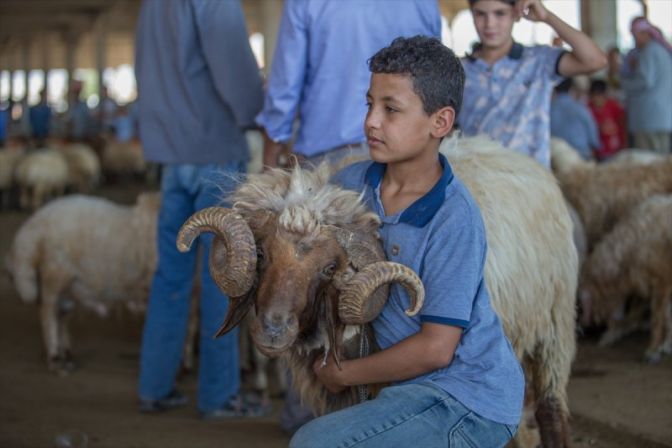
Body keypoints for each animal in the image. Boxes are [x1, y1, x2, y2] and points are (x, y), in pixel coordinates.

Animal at [5, 192, 161, 372]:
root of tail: (32, 227)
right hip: (55, 272)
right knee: (48, 311)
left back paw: (67, 355)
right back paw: (55, 358)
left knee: (61, 314)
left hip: (69, 284)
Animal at [576, 194, 672, 362]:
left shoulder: (661, 281)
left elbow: (658, 318)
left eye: (580, 307)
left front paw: (652, 351)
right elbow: (668, 316)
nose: (583, 331)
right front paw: (666, 345)